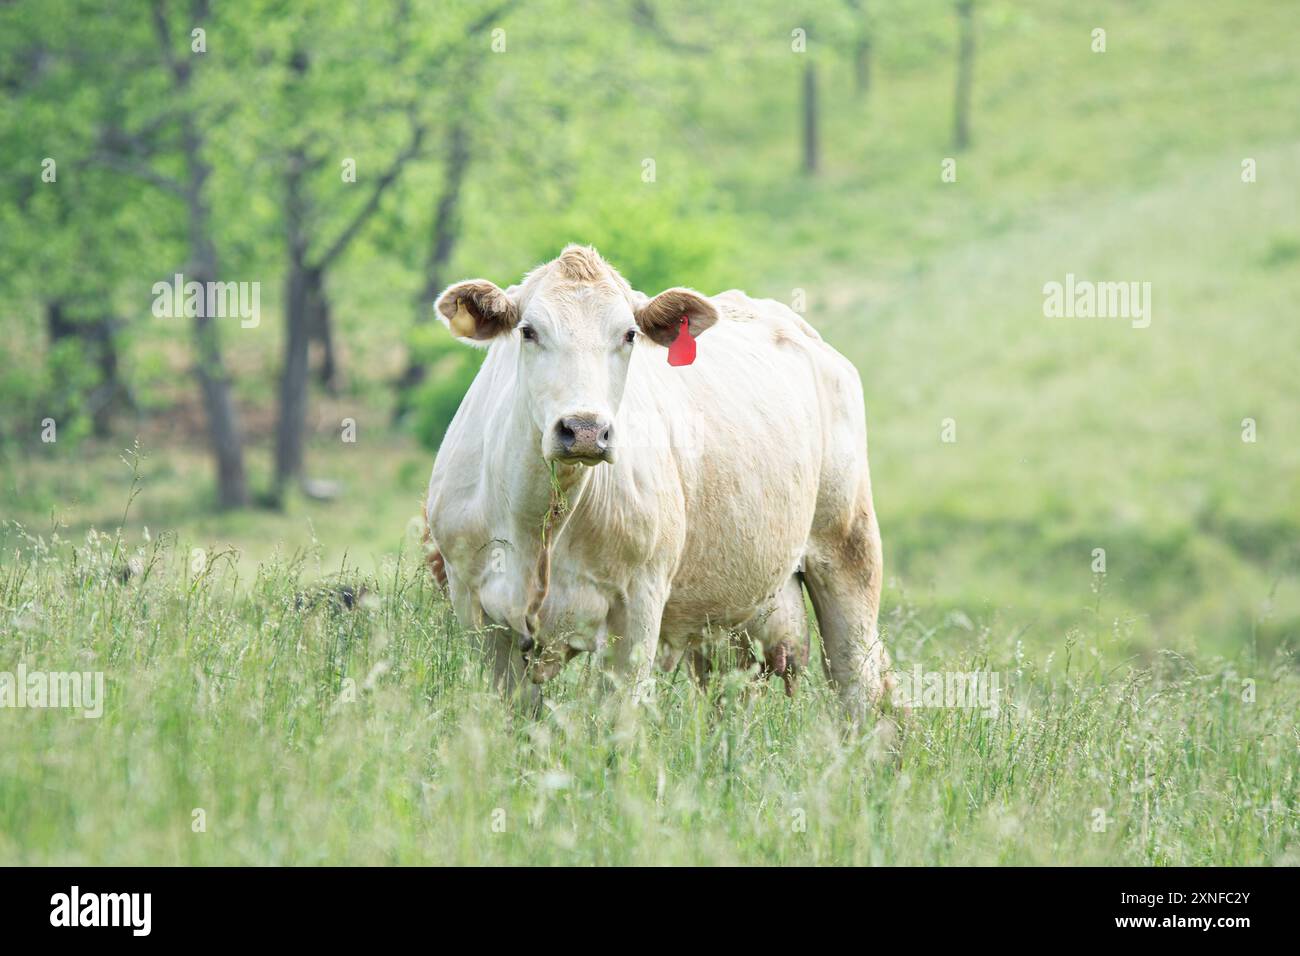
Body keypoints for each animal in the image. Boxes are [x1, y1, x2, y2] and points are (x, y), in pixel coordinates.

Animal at [426, 243, 894, 723]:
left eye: (629, 334)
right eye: (528, 331)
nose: (585, 429)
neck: (540, 522)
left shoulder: (638, 604)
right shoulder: (477, 606)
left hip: (847, 550)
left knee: (857, 678)